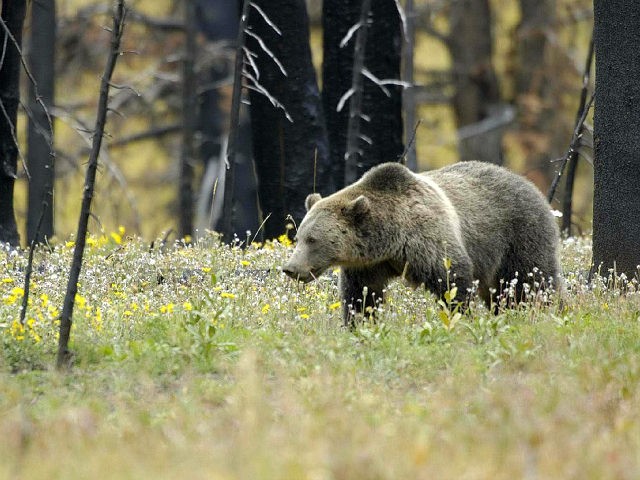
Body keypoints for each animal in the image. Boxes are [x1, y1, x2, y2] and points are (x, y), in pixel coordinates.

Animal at [282, 162, 556, 326]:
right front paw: (359, 324)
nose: (290, 268)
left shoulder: (428, 241)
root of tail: (530, 184)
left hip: (519, 235)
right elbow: (361, 296)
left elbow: (452, 281)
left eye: (313, 239)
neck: (390, 240)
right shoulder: (368, 265)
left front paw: (460, 317)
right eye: (299, 237)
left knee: (533, 281)